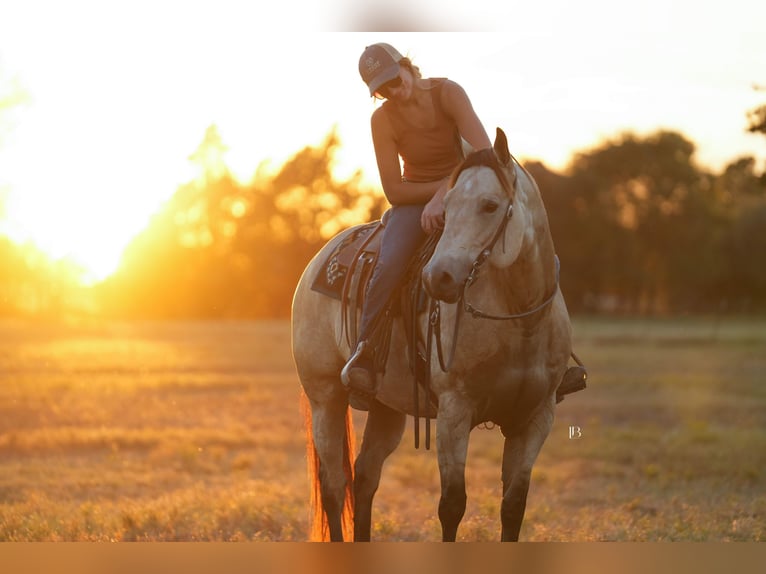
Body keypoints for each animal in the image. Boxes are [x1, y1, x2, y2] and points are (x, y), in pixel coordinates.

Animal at [291, 127, 578, 541]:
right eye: (448, 203)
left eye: (490, 205)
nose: (437, 278)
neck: (519, 322)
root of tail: (319, 258)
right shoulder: (454, 411)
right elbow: (452, 505)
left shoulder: (536, 417)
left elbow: (514, 505)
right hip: (325, 396)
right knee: (333, 485)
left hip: (387, 408)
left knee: (364, 477)